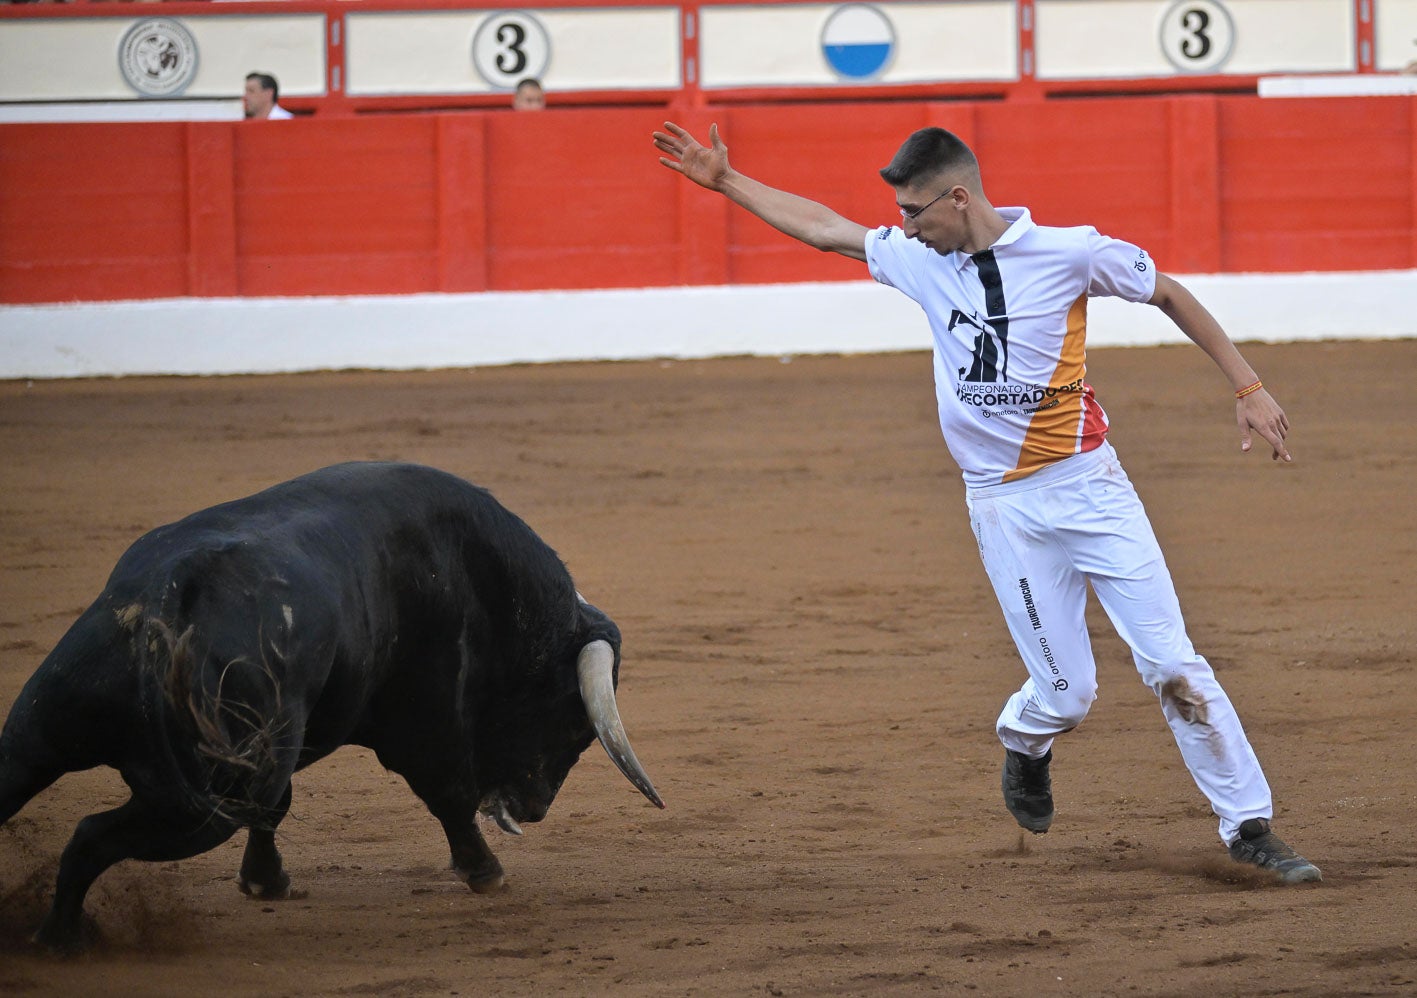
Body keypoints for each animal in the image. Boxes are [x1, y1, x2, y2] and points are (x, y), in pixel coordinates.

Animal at [0, 459, 663, 952]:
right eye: (575, 725)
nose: (535, 809)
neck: (479, 576)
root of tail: (169, 594)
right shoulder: (426, 718)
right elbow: (447, 793)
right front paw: (485, 871)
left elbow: (280, 809)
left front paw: (265, 882)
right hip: (202, 802)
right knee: (90, 836)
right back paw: (60, 939)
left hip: (41, 730)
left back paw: (52, 937)